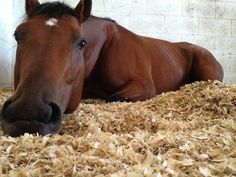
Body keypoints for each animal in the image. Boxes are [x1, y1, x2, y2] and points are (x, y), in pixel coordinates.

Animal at [0, 0, 222, 137]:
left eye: (81, 42)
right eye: (17, 35)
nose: (28, 111)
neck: (105, 47)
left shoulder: (142, 86)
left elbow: (113, 97)